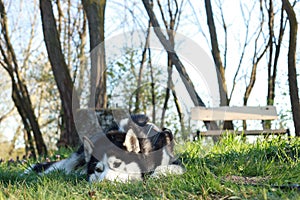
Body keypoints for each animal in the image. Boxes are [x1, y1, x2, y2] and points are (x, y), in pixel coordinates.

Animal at [24, 115, 184, 182]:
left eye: (118, 165)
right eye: (98, 170)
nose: (104, 183)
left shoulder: (174, 163)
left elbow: (162, 169)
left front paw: (154, 176)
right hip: (78, 155)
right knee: (64, 166)